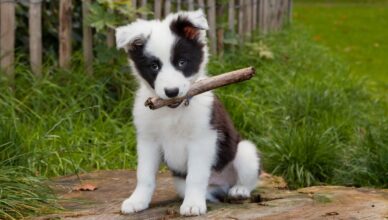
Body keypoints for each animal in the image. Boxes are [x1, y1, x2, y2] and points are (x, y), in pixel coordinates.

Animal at [115, 9, 260, 216]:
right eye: (154, 66)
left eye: (182, 62)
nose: (171, 92)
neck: (173, 112)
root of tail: (223, 184)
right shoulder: (148, 141)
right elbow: (144, 175)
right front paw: (137, 200)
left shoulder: (202, 139)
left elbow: (196, 176)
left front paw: (192, 205)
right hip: (180, 182)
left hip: (245, 151)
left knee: (250, 179)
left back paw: (239, 190)